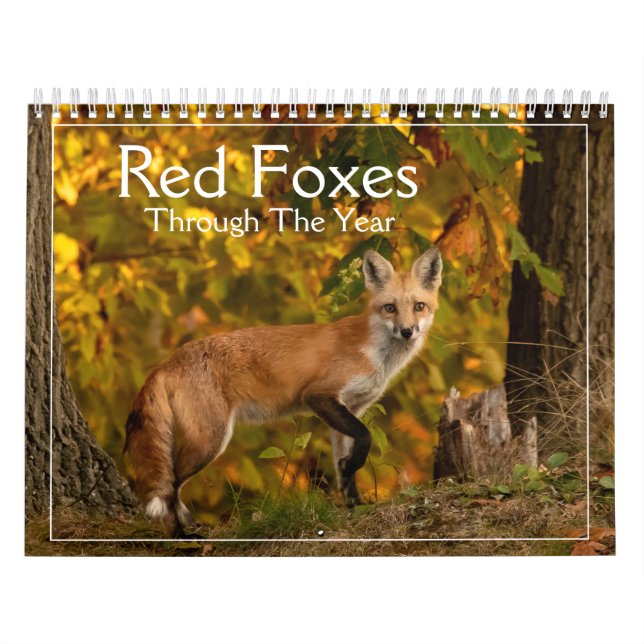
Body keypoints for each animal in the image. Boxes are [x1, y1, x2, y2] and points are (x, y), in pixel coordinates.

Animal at [124, 247, 442, 536]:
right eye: (390, 308)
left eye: (419, 306)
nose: (407, 331)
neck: (375, 354)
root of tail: (167, 361)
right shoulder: (318, 395)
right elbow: (363, 439)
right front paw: (352, 476)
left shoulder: (351, 407)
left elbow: (345, 468)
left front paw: (355, 504)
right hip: (210, 440)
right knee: (171, 483)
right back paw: (180, 535)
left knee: (173, 485)